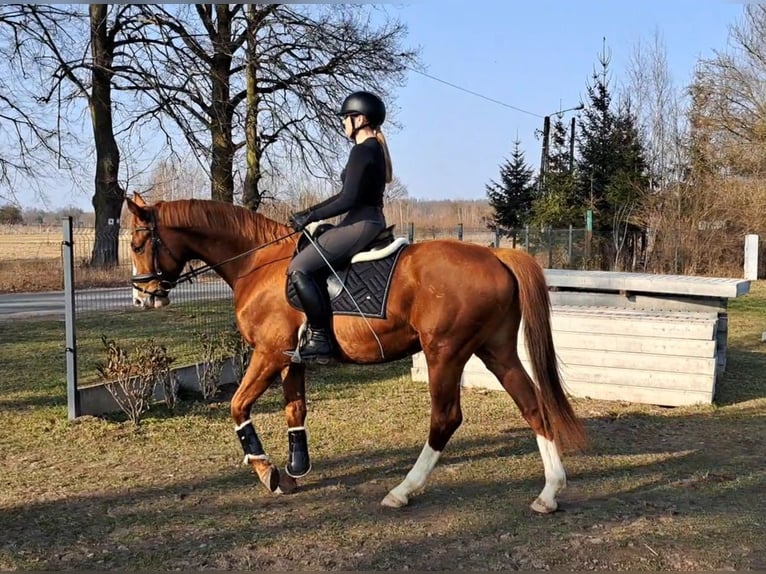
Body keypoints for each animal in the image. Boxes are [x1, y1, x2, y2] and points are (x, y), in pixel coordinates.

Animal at [127, 196, 588, 516]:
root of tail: (495, 253)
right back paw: (549, 492)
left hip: (445, 353)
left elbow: (238, 406)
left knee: (446, 418)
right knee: (532, 405)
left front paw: (269, 473)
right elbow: (296, 411)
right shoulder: (291, 358)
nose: (141, 297)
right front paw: (295, 469)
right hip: (495, 350)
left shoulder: (269, 354)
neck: (259, 262)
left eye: (136, 242)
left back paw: (403, 491)